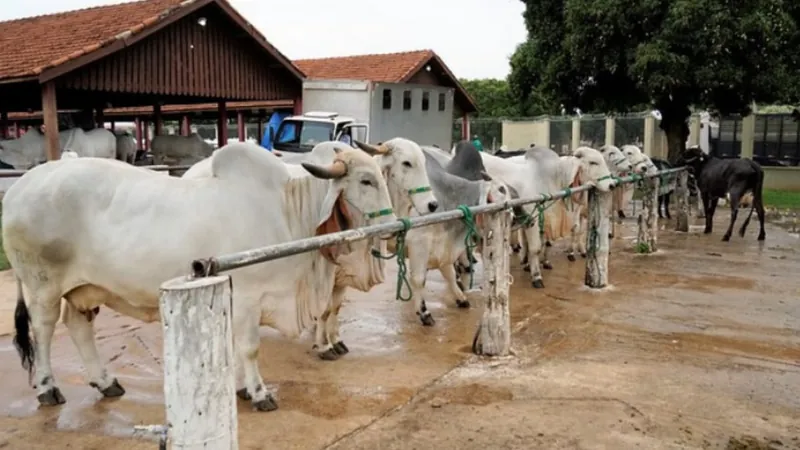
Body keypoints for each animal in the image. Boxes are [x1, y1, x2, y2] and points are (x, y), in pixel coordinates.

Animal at [4, 142, 396, 410]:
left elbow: (238, 348)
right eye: (365, 180)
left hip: (84, 289)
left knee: (79, 326)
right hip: (42, 287)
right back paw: (48, 387)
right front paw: (259, 393)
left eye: (381, 176)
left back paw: (105, 382)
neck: (288, 211)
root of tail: (18, 188)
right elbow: (250, 348)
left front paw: (242, 388)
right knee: (43, 331)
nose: (393, 226)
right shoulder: (249, 298)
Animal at [478, 148, 616, 288]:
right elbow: (535, 248)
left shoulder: (543, 220)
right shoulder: (532, 220)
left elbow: (543, 243)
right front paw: (536, 276)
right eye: (593, 162)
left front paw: (536, 264)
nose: (612, 185)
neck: (553, 178)